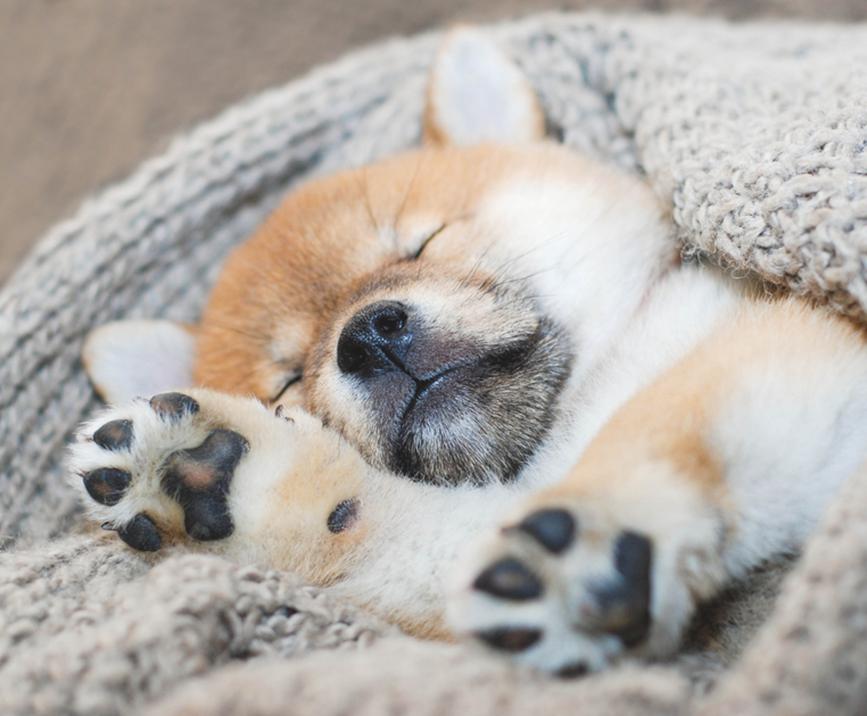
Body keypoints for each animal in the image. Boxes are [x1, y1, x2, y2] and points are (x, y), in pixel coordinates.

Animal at [69, 29, 867, 676]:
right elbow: (387, 535)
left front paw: (601, 527)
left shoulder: (787, 357)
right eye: (288, 382)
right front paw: (217, 478)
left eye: (423, 242)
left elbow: (655, 426)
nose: (364, 338)